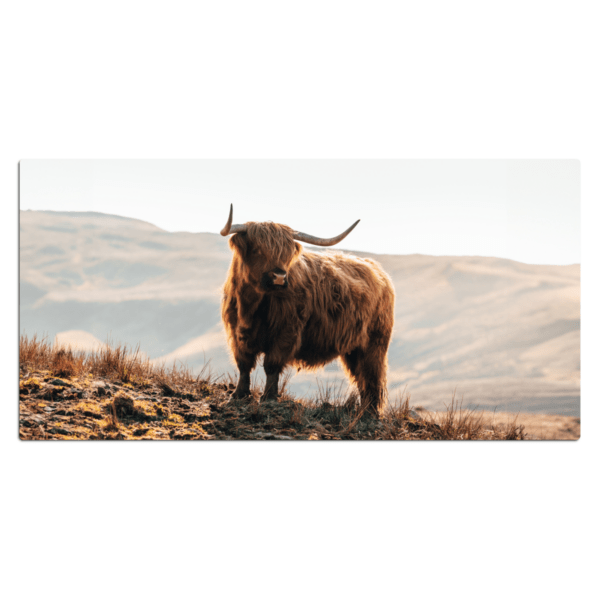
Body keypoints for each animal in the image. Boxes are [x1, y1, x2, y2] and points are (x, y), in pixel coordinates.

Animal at [219, 204, 394, 414]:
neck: (251, 306)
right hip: (354, 348)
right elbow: (244, 364)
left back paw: (369, 412)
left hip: (374, 343)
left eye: (286, 254)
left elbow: (271, 365)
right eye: (257, 250)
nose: (279, 277)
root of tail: (377, 270)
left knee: (371, 375)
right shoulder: (236, 332)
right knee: (361, 377)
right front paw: (237, 395)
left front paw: (268, 398)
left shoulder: (286, 331)